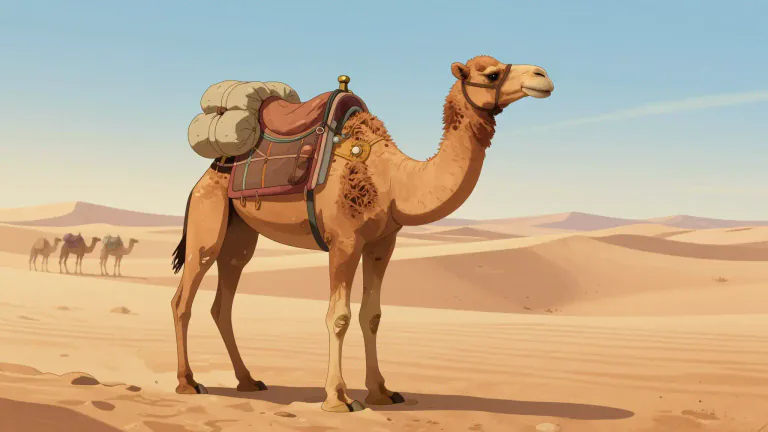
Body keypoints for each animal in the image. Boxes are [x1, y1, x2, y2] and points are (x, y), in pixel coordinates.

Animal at [170, 55, 554, 412]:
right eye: (491, 74)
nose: (543, 77)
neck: (394, 180)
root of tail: (208, 172)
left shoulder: (383, 243)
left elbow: (372, 315)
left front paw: (382, 392)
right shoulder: (344, 241)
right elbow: (338, 316)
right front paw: (338, 398)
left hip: (240, 235)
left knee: (223, 302)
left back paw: (248, 381)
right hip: (208, 217)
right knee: (183, 298)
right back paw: (188, 382)